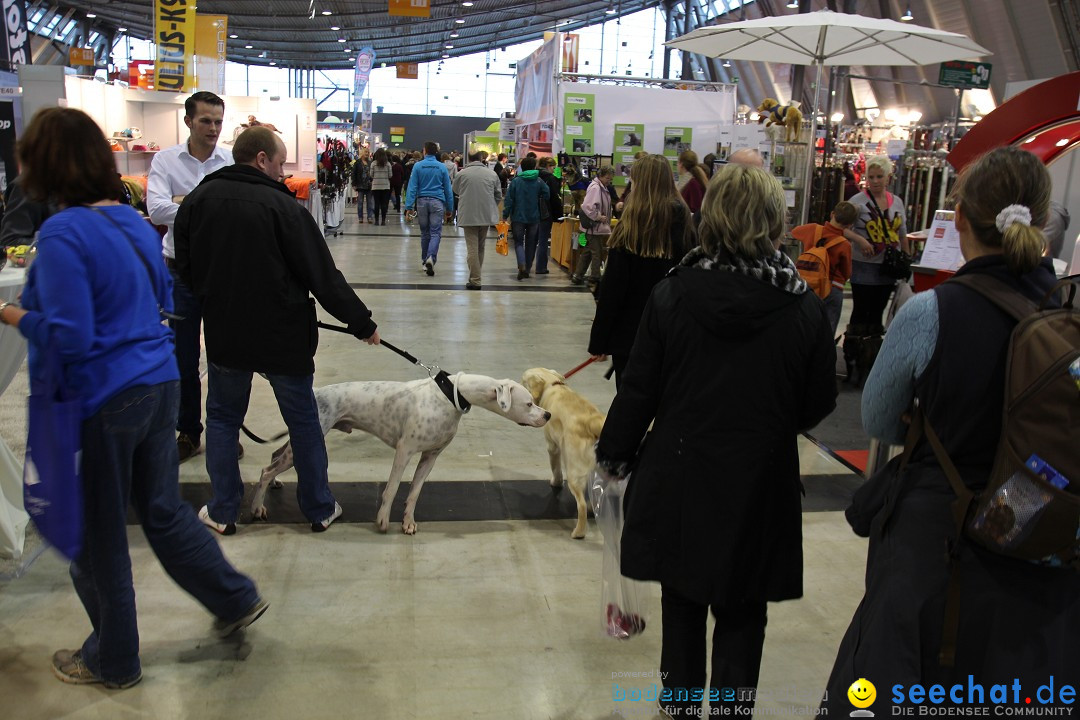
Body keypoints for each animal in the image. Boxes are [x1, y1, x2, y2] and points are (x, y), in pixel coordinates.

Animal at [251, 375, 548, 533]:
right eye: (529, 403)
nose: (547, 414)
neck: (449, 397)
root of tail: (315, 391)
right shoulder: (404, 452)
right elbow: (392, 488)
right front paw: (383, 520)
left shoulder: (430, 457)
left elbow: (414, 492)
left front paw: (408, 522)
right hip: (304, 444)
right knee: (265, 471)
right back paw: (257, 507)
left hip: (294, 444)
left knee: (273, 457)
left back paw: (275, 484)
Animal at [522, 369, 609, 537]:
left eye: (523, 381)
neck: (552, 385)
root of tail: (593, 423)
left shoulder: (552, 446)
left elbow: (555, 468)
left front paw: (555, 483)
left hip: (574, 472)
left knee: (581, 505)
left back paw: (578, 532)